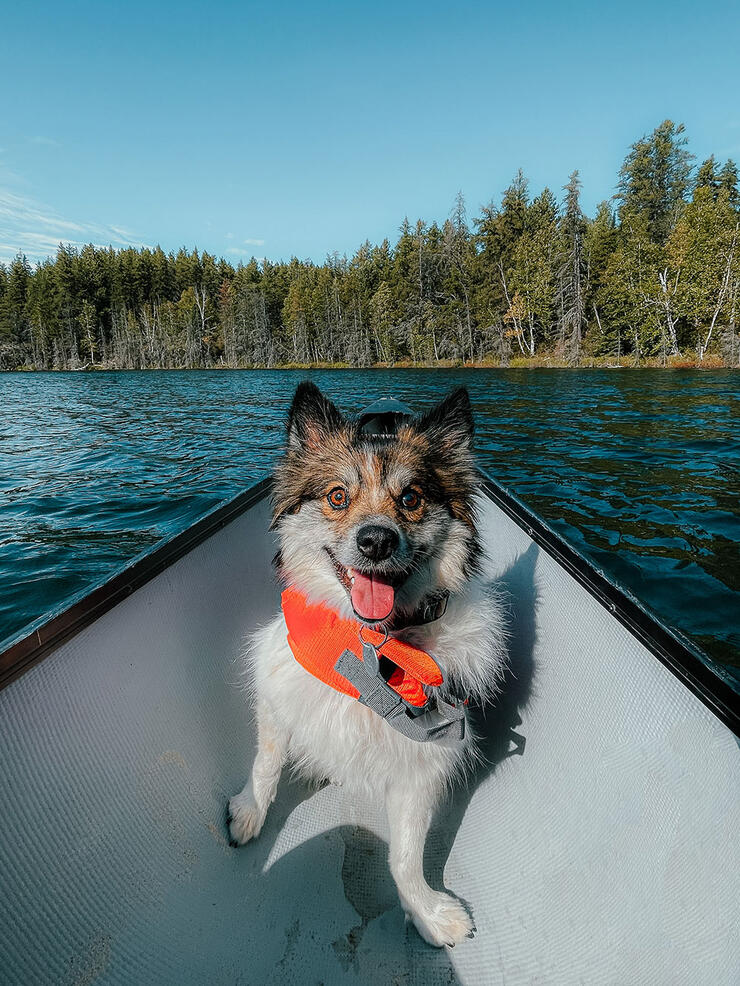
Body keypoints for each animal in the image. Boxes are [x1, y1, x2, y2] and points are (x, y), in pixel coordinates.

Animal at [227, 380, 508, 940]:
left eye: (411, 499)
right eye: (338, 496)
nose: (376, 540)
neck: (373, 648)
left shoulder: (425, 762)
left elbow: (405, 855)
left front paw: (427, 912)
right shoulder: (276, 696)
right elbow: (265, 765)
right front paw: (248, 814)